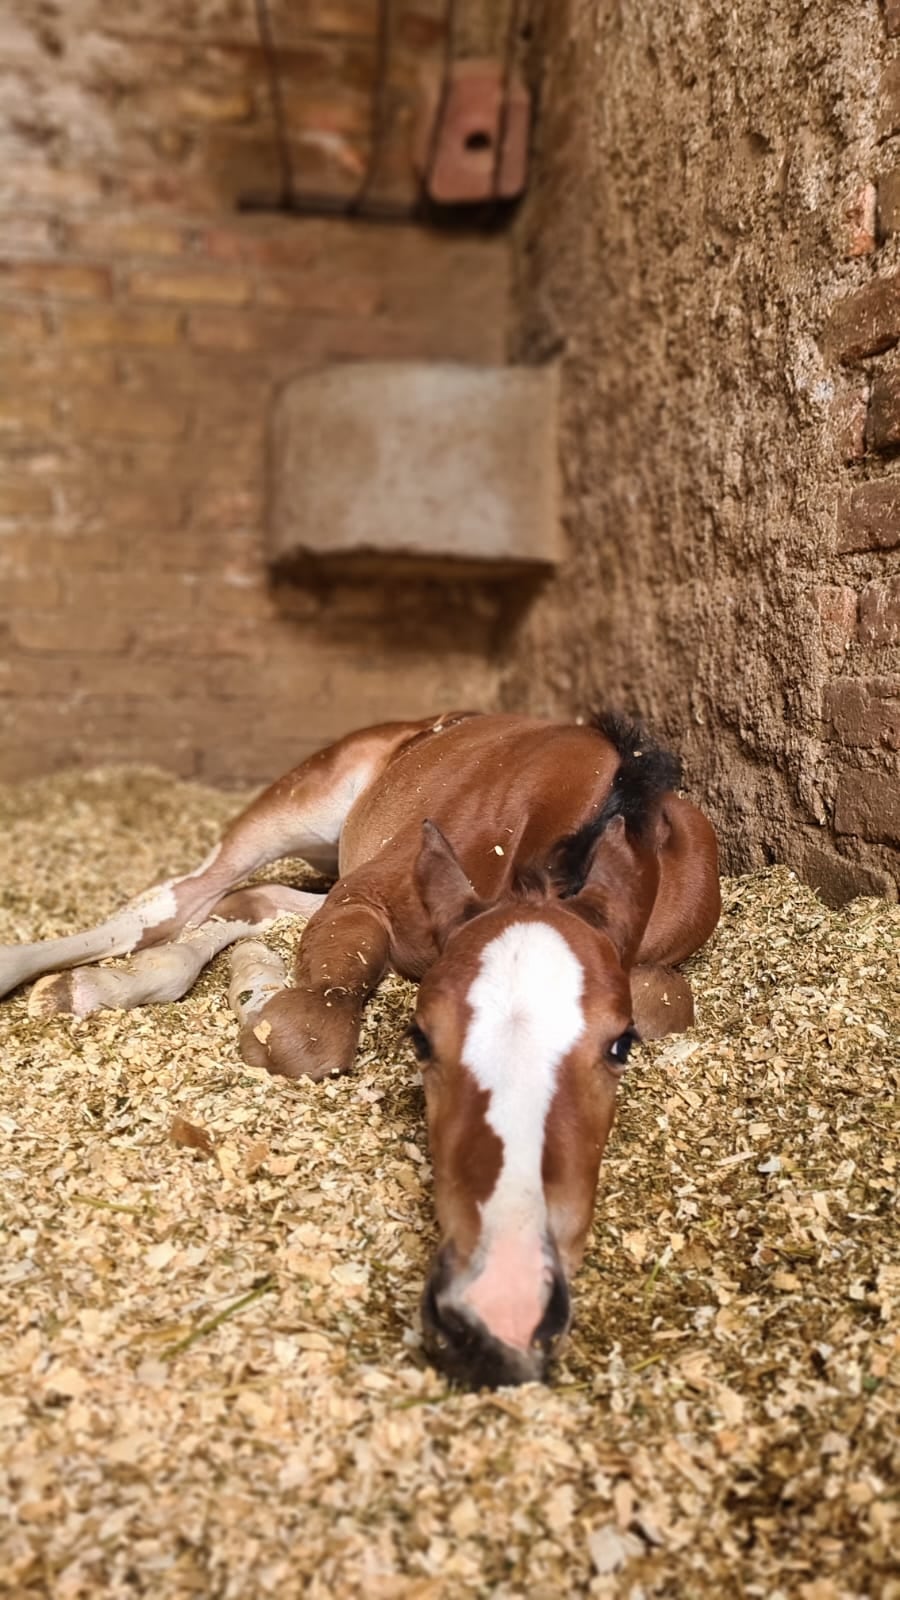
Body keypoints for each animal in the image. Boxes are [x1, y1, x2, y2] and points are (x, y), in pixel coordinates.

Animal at [0, 713, 714, 1388]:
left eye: (619, 1048)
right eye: (421, 1038)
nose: (501, 1311)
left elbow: (666, 1001)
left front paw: (252, 985)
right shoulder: (363, 898)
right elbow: (308, 1029)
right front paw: (258, 1000)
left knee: (245, 902)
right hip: (297, 806)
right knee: (175, 904)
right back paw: (64, 978)